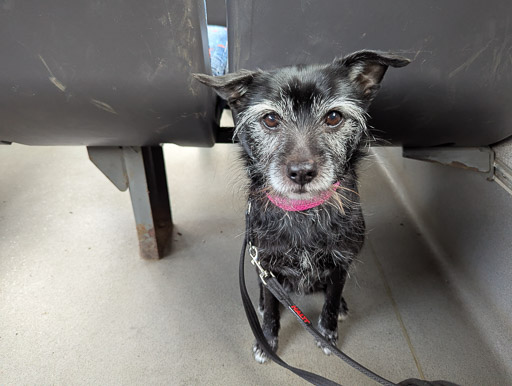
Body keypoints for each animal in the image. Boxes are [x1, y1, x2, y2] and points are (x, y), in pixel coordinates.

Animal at [194, 50, 410, 362]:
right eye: (271, 119)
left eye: (333, 117)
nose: (301, 173)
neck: (303, 212)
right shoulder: (267, 265)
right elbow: (272, 308)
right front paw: (267, 340)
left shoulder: (341, 265)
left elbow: (330, 300)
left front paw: (328, 334)